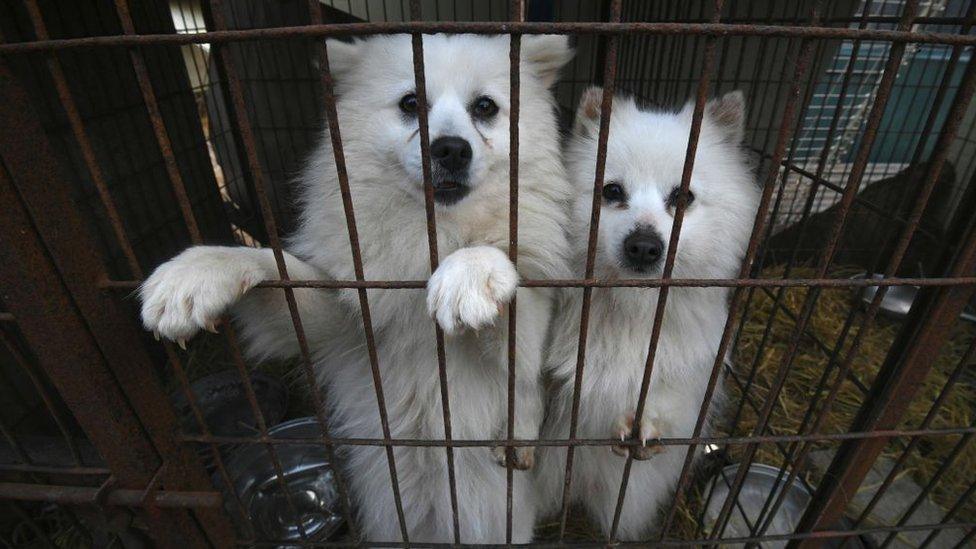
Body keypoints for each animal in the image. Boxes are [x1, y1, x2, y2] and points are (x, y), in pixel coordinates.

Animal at [141, 34, 576, 544]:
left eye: (485, 107)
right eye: (410, 103)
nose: (450, 149)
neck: (435, 234)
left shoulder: (528, 342)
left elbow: (507, 290)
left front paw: (469, 271)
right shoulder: (341, 320)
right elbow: (273, 265)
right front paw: (197, 271)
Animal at [536, 88, 760, 536]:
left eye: (683, 197)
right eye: (611, 191)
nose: (643, 246)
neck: (632, 309)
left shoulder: (688, 368)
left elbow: (666, 395)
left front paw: (644, 421)